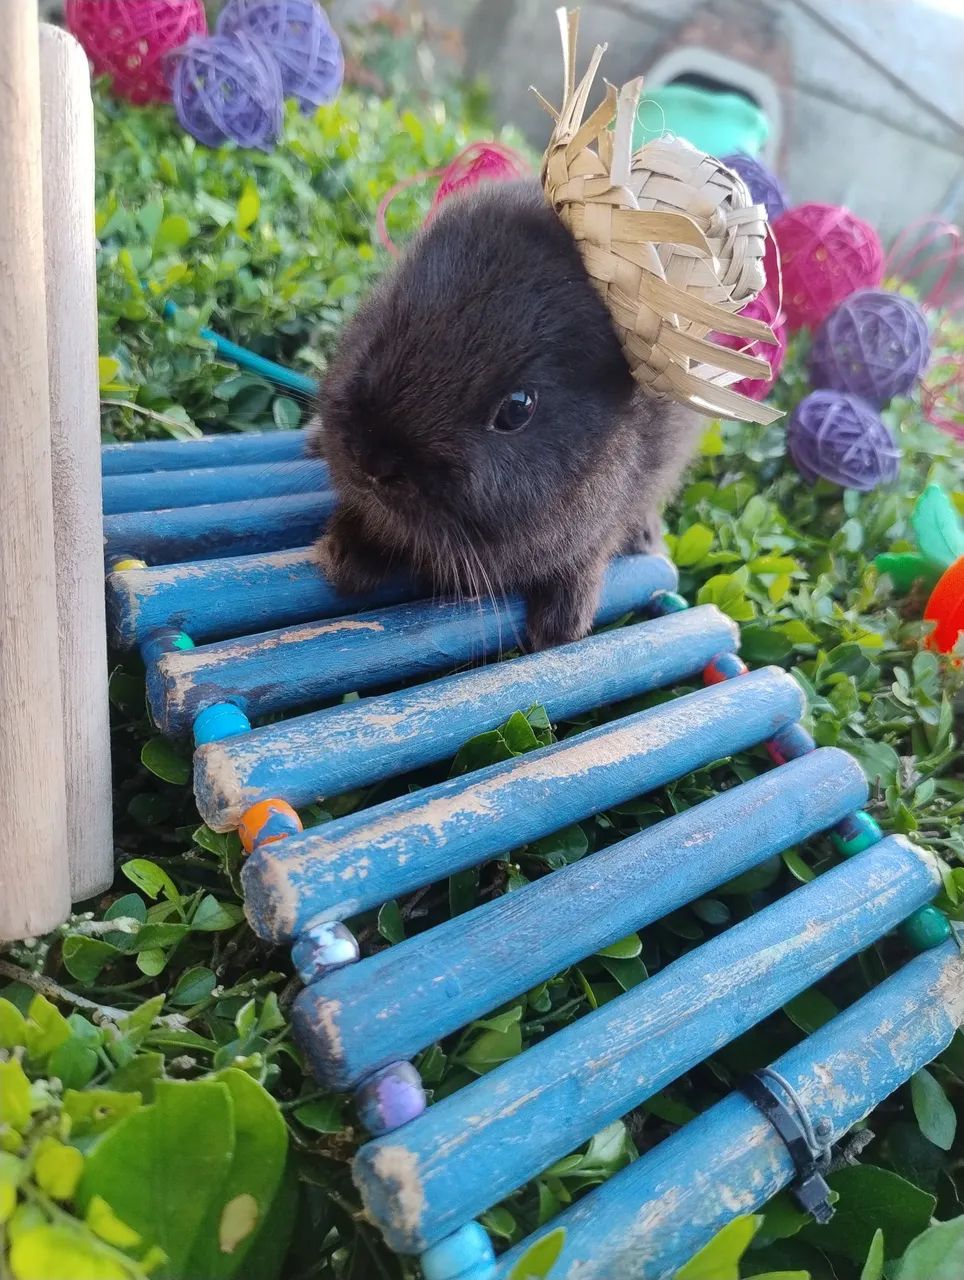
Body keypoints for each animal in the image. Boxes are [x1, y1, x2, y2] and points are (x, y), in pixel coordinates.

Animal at [309, 178, 704, 650]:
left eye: (517, 409)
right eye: (377, 333)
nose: (372, 462)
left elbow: (590, 552)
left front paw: (560, 626)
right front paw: (344, 558)